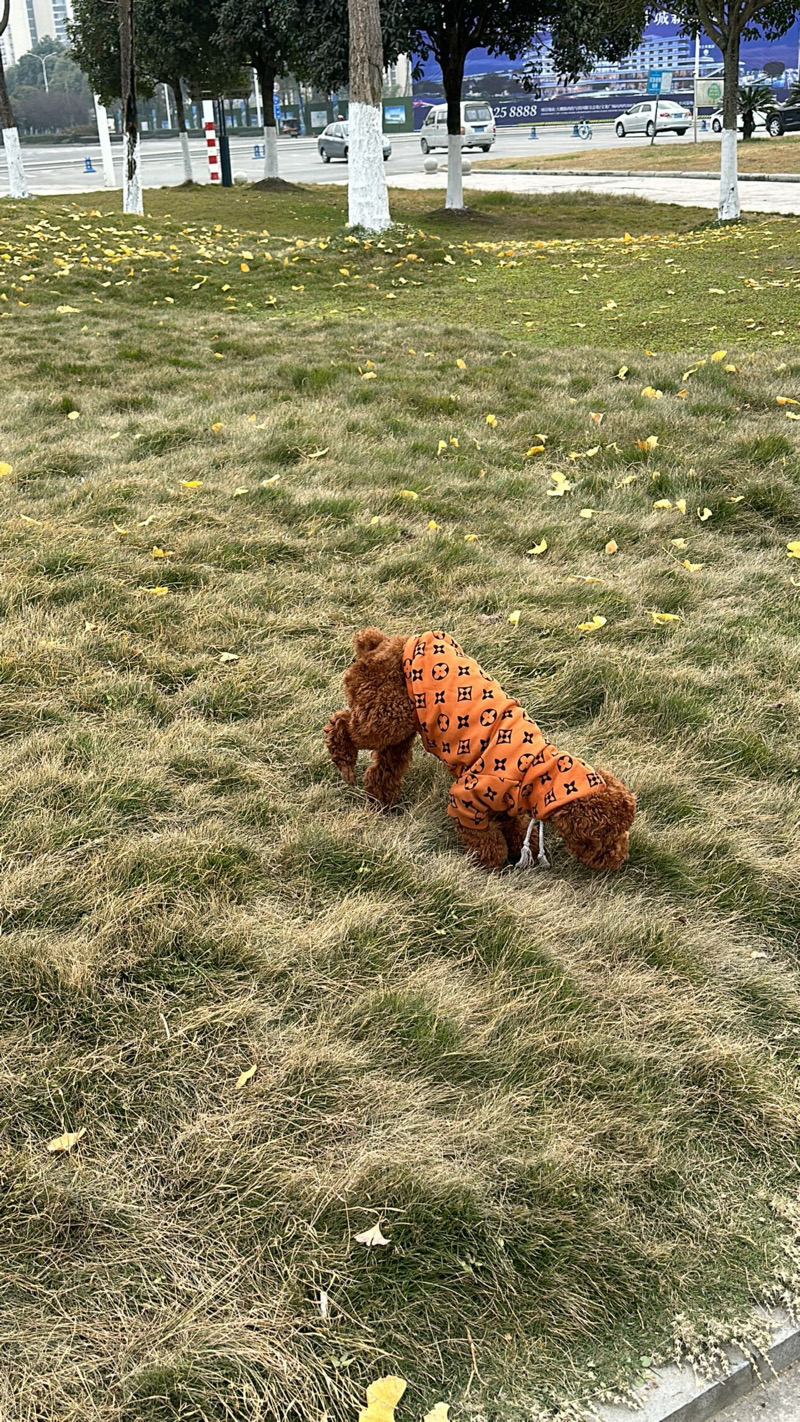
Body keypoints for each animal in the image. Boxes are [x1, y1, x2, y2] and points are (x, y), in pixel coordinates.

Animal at [322, 628, 636, 870]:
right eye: (604, 836)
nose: (619, 860)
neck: (536, 769)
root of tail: (380, 642)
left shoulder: (508, 800)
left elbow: (514, 826)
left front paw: (520, 849)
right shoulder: (466, 799)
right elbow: (486, 839)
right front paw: (493, 867)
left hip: (399, 721)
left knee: (384, 767)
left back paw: (380, 802)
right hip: (386, 716)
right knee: (341, 724)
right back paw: (345, 761)